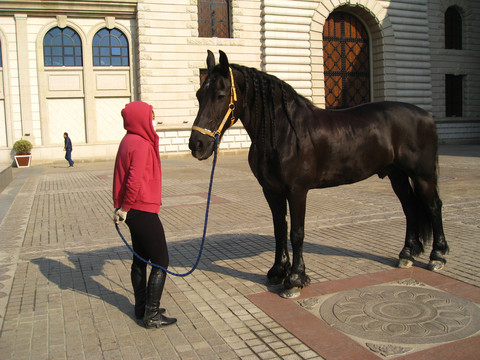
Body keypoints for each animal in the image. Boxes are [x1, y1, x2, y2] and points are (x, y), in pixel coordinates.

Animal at [189, 50, 448, 298]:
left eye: (220, 95)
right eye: (199, 95)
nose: (197, 145)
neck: (283, 131)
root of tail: (427, 116)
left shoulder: (297, 191)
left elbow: (296, 233)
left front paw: (294, 280)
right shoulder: (271, 191)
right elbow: (279, 229)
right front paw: (277, 271)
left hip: (422, 176)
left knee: (433, 206)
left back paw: (437, 256)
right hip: (397, 175)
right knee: (409, 207)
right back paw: (406, 254)